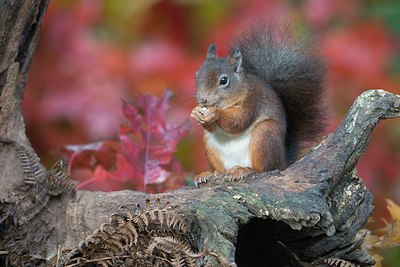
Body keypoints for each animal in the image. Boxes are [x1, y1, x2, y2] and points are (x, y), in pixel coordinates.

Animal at [191, 24, 328, 181]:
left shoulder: (252, 100)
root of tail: (282, 161)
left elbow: (239, 121)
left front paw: (215, 112)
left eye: (224, 80)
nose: (202, 99)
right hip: (210, 146)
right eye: (196, 75)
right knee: (221, 169)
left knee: (265, 168)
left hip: (264, 134)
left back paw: (243, 170)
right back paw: (211, 173)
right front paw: (196, 112)